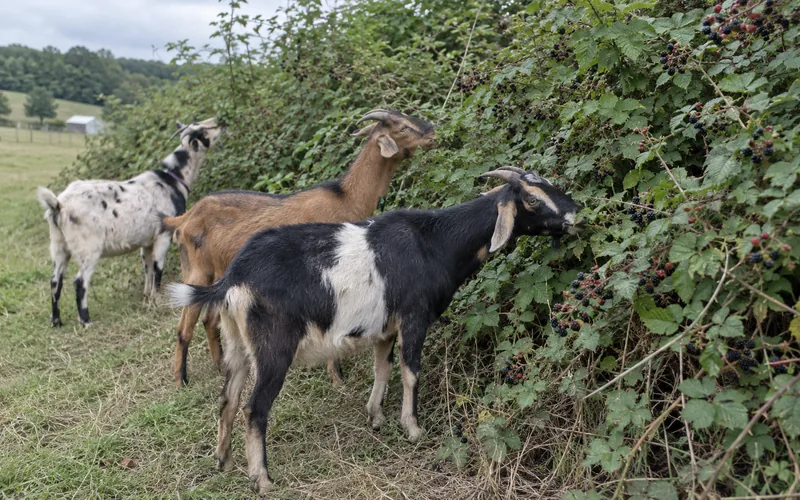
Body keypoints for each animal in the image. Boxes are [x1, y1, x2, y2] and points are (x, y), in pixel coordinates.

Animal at [37, 118, 224, 326]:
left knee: (55, 281)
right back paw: (85, 321)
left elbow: (148, 267)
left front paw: (148, 296)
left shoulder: (147, 241)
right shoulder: (163, 235)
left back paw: (56, 321)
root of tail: (59, 205)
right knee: (79, 282)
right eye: (203, 130)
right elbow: (158, 268)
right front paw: (157, 300)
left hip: (58, 245)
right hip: (88, 248)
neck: (173, 180)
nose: (220, 121)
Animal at [162, 109, 436, 388]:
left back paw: (219, 367)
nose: (433, 134)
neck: (346, 197)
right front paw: (337, 378)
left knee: (209, 319)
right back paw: (180, 381)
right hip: (196, 270)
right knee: (183, 328)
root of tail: (184, 218)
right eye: (403, 128)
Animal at [167, 166, 584, 493]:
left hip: (237, 340)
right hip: (273, 346)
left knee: (228, 397)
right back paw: (263, 479)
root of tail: (235, 277)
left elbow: (382, 368)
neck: (434, 242)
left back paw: (223, 460)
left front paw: (375, 416)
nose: (574, 214)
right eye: (531, 202)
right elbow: (410, 372)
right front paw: (413, 428)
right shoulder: (414, 317)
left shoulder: (384, 327)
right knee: (255, 407)